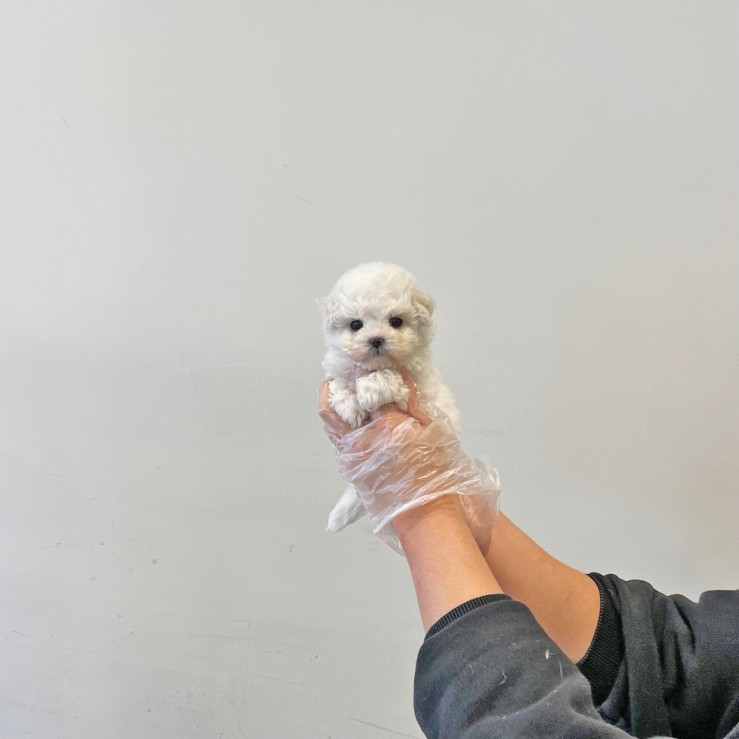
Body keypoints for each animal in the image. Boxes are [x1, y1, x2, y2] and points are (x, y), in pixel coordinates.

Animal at [319, 262, 460, 532]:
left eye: (396, 321)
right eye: (355, 324)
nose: (376, 340)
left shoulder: (412, 385)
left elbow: (386, 377)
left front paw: (369, 390)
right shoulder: (338, 368)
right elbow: (340, 380)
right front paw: (349, 404)